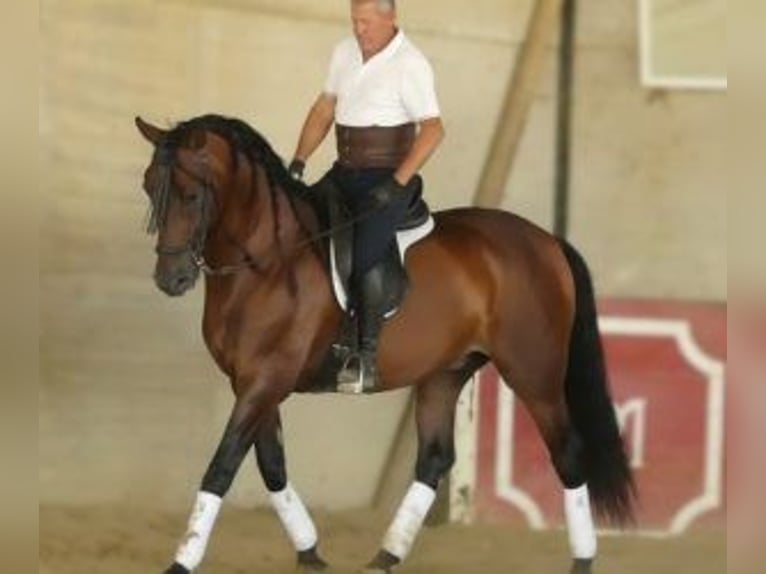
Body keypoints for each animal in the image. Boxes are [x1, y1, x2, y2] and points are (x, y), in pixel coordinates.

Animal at [134, 114, 634, 574]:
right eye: (148, 188)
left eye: (191, 196)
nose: (170, 279)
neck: (266, 265)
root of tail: (547, 241)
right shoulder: (251, 382)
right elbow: (272, 467)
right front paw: (310, 552)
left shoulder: (265, 380)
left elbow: (221, 467)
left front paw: (181, 562)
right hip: (445, 373)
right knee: (434, 459)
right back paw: (385, 556)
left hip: (533, 373)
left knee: (568, 455)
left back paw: (582, 560)